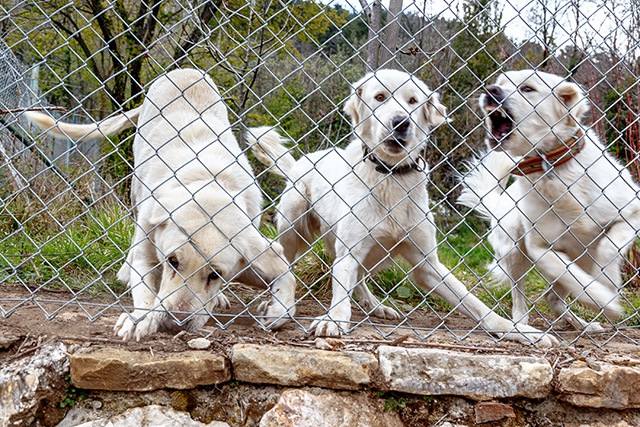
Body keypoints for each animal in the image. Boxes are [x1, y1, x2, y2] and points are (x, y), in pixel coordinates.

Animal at [24, 67, 296, 342]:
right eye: (172, 261)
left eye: (215, 274)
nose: (175, 323)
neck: (209, 181)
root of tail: (185, 70)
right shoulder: (147, 250)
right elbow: (145, 289)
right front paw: (139, 318)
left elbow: (287, 275)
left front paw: (276, 309)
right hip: (136, 187)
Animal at [248, 68, 556, 346]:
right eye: (380, 97)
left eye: (412, 101)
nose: (400, 122)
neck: (391, 177)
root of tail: (301, 161)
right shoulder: (349, 252)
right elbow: (340, 292)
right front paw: (333, 319)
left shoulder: (428, 265)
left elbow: (475, 304)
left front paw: (518, 330)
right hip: (292, 230)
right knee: (287, 268)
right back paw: (276, 304)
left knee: (359, 280)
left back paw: (375, 306)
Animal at [460, 70, 640, 332]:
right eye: (500, 82)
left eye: (528, 89)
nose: (490, 89)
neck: (552, 167)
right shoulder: (539, 247)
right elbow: (569, 274)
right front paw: (602, 299)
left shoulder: (631, 213)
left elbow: (607, 248)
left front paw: (607, 283)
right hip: (515, 251)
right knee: (522, 294)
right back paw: (522, 324)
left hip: (577, 258)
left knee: (553, 296)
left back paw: (583, 325)